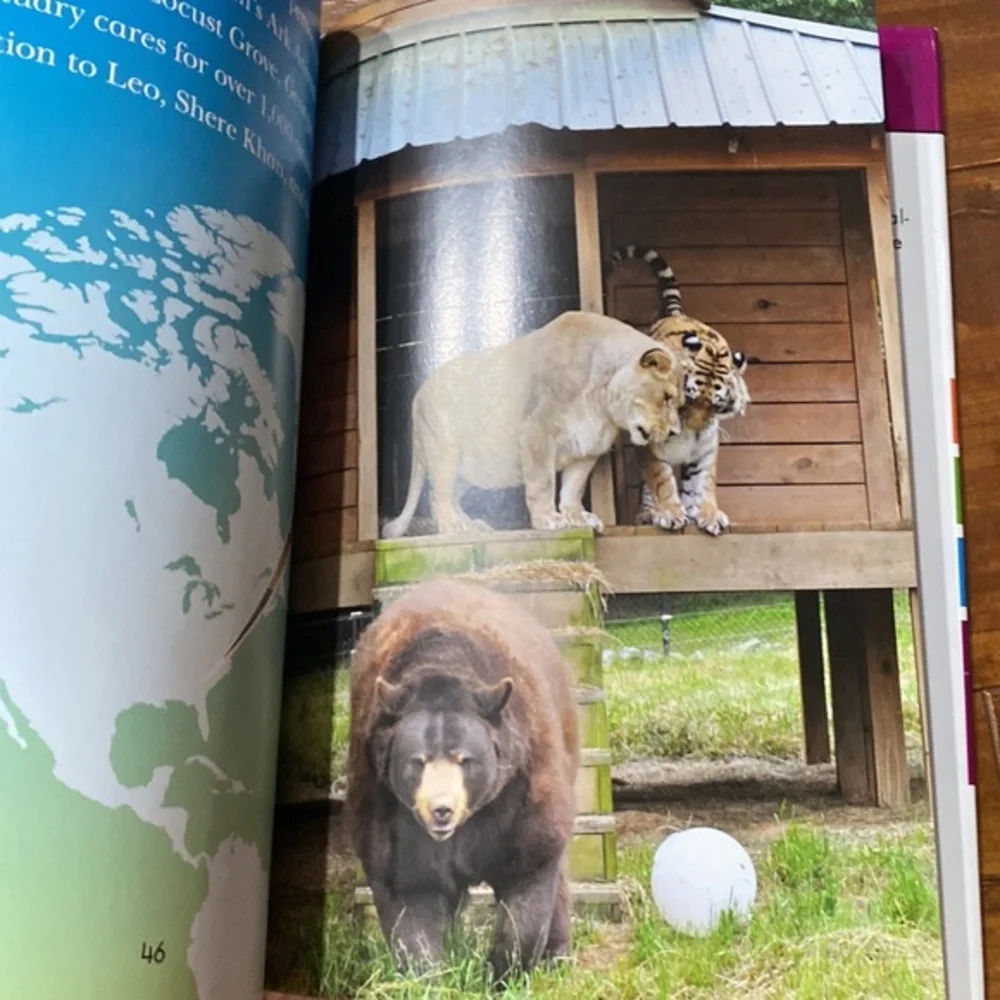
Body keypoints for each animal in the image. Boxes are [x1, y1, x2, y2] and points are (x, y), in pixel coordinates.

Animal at [346, 577, 580, 985]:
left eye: (464, 759)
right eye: (417, 762)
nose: (441, 810)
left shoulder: (522, 786)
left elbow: (529, 870)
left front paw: (504, 972)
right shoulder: (384, 801)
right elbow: (408, 888)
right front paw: (429, 975)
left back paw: (557, 955)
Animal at [604, 244, 751, 536]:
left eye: (715, 405)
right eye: (688, 401)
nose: (691, 428)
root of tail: (676, 316)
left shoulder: (706, 447)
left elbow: (703, 482)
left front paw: (709, 514)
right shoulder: (650, 447)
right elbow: (660, 480)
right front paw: (670, 514)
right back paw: (649, 514)